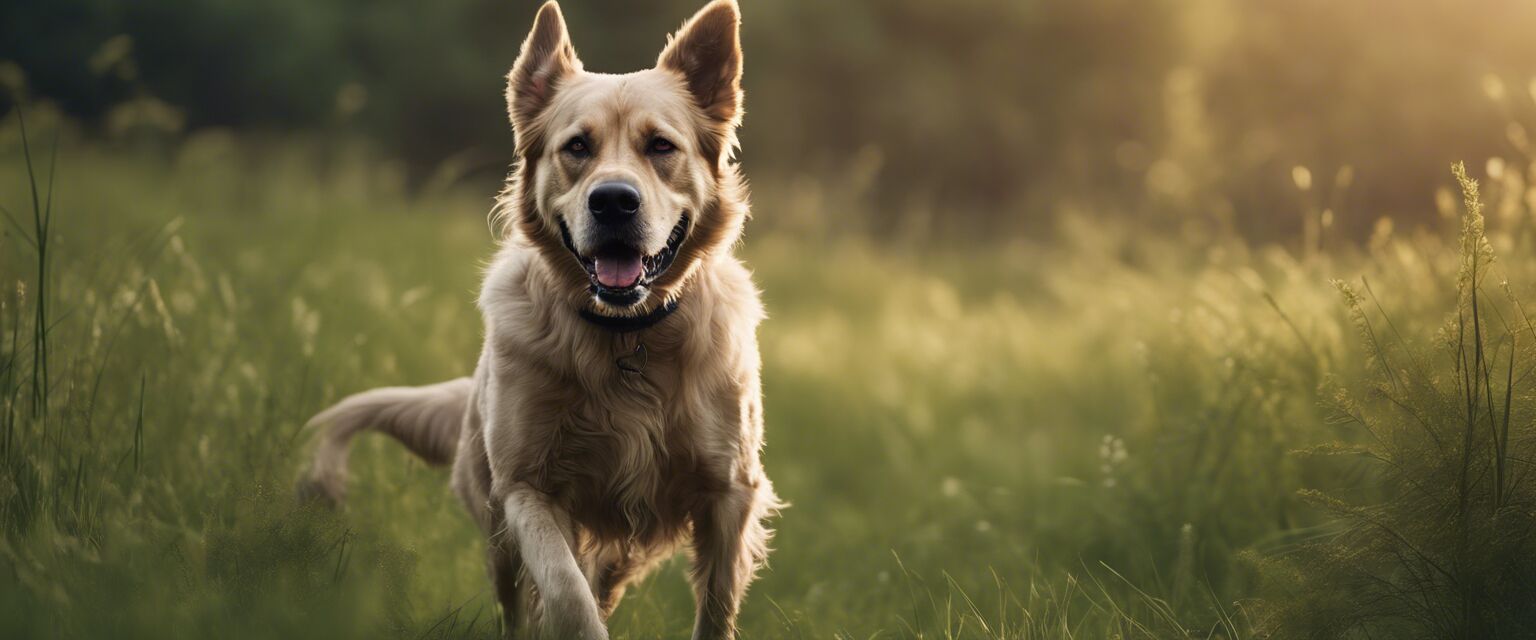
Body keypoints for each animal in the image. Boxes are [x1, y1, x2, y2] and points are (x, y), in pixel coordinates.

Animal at [296, 2, 780, 635]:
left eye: (660, 146)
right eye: (576, 146)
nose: (614, 201)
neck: (626, 337)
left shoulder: (730, 492)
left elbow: (717, 606)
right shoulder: (527, 488)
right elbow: (566, 594)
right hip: (495, 517)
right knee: (521, 599)